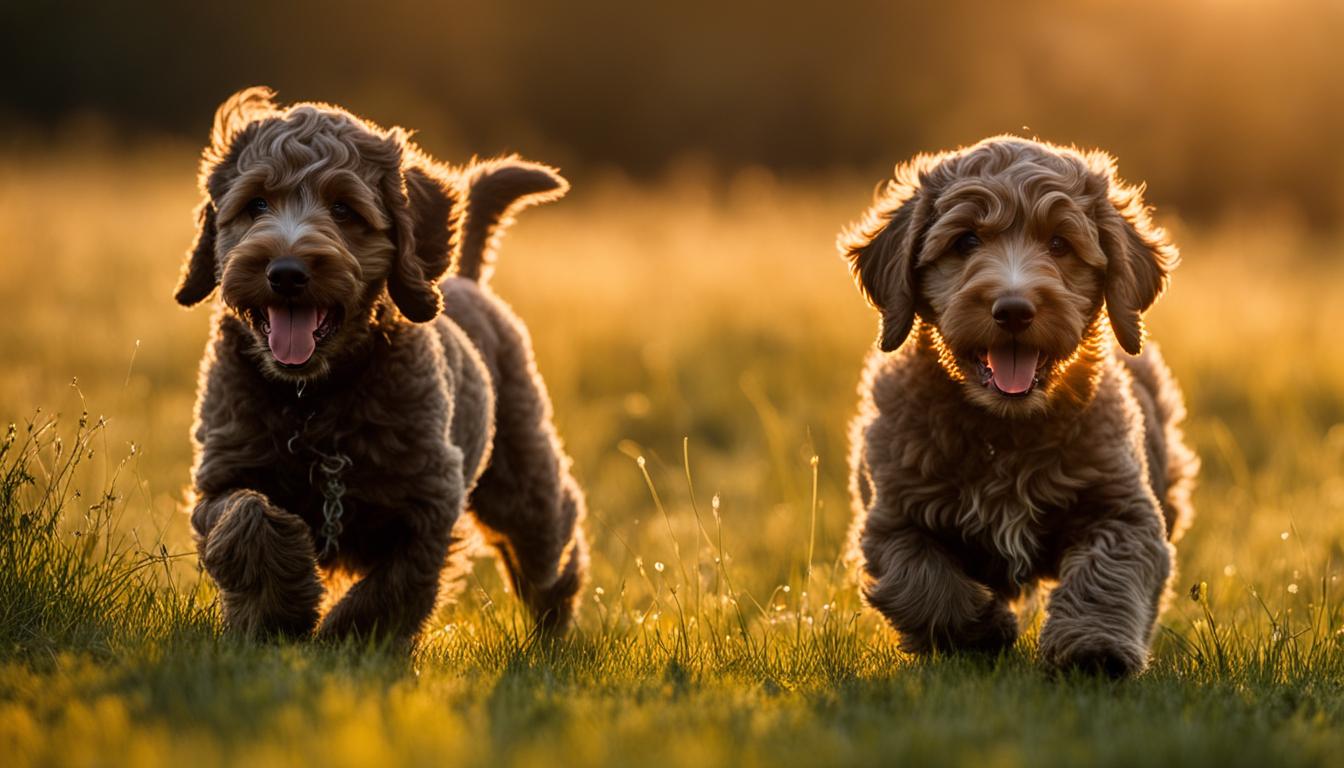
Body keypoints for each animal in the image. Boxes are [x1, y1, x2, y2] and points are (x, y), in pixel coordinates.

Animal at [174, 87, 588, 645]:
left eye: (343, 208)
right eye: (255, 203)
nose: (286, 272)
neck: (313, 401)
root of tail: (468, 280)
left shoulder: (429, 498)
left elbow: (395, 585)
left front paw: (350, 643)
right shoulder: (224, 471)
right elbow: (248, 518)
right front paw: (277, 617)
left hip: (522, 476)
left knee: (549, 547)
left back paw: (552, 632)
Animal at [844, 135, 1204, 675]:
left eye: (1059, 244)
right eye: (965, 242)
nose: (1013, 309)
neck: (1006, 428)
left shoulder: (1123, 508)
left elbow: (1108, 572)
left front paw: (1093, 651)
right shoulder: (892, 515)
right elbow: (921, 582)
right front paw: (981, 632)